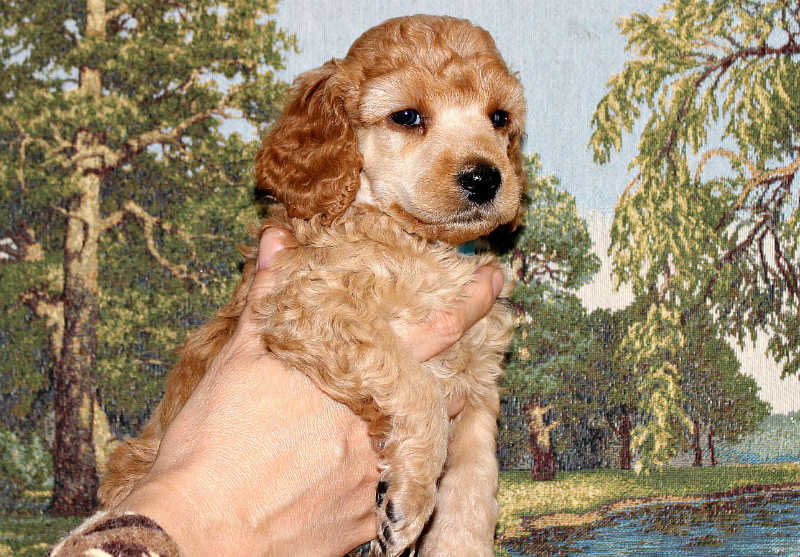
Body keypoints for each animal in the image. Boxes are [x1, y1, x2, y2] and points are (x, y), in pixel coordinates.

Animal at [100, 15, 526, 557]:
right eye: (407, 117)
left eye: (499, 118)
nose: (485, 178)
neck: (420, 247)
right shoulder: (311, 305)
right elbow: (416, 388)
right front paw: (411, 496)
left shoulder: (478, 387)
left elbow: (473, 490)